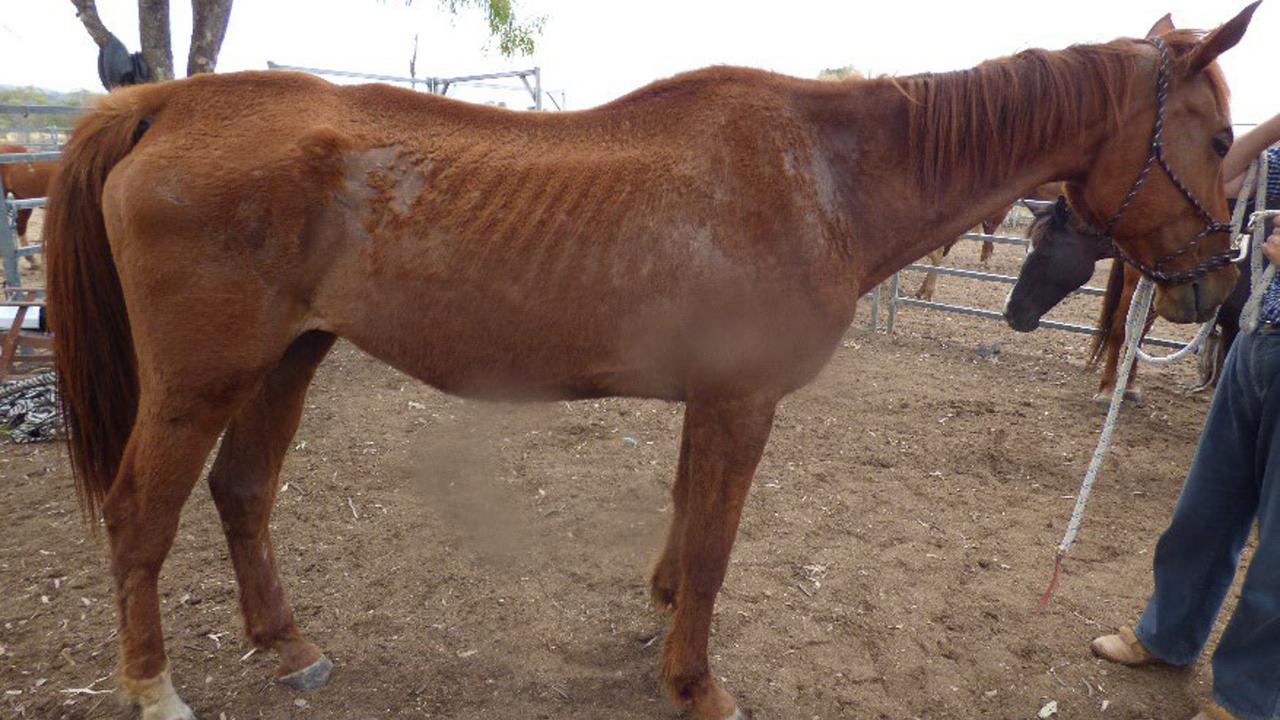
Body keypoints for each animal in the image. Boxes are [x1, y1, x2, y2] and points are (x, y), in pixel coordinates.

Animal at [43, 8, 1253, 720]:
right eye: (1209, 137)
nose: (1215, 288)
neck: (825, 176)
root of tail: (160, 101)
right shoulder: (740, 403)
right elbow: (714, 551)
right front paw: (696, 682)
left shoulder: (706, 402)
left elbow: (683, 527)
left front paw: (659, 623)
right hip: (201, 380)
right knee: (139, 520)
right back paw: (152, 687)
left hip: (287, 359)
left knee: (242, 495)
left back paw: (288, 645)